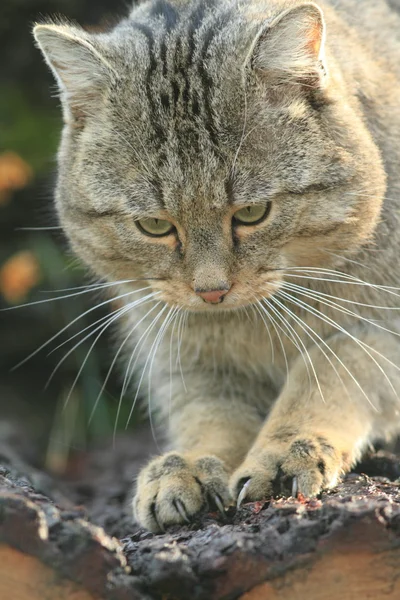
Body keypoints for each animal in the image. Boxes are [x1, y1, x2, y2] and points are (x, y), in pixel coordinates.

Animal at [32, 0, 400, 536]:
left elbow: (329, 373)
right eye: (154, 225)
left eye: (252, 213)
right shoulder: (184, 357)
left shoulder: (381, 329)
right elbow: (209, 417)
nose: (211, 291)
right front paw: (185, 464)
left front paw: (284, 451)